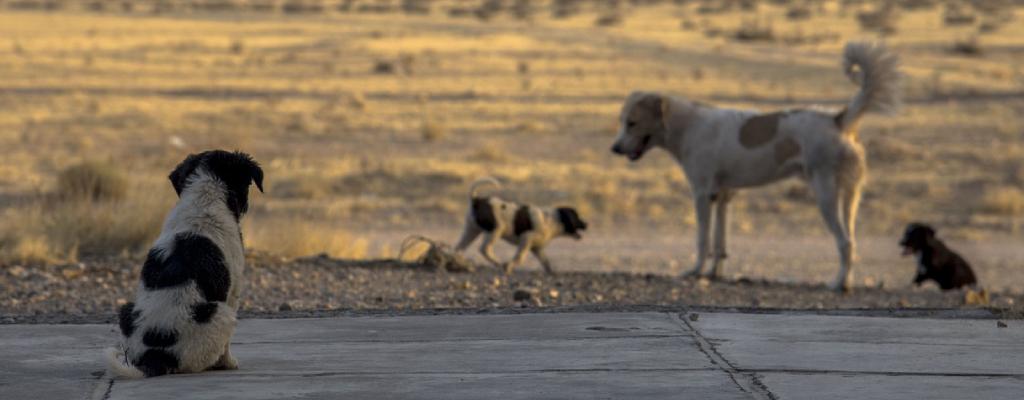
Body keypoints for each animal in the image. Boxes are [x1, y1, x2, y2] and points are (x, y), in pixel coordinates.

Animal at [104, 150, 262, 378]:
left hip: (126, 311)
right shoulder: (233, 291)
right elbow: (226, 348)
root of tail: (156, 357)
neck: (205, 199)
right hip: (221, 314)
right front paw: (229, 363)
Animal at [454, 179, 589, 276]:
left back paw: (459, 261)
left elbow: (545, 261)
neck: (552, 221)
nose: (587, 224)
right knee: (484, 249)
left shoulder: (537, 248)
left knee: (459, 247)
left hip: (471, 230)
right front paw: (508, 267)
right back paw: (498, 263)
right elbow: (520, 257)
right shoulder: (526, 239)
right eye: (577, 217)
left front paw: (551, 272)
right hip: (495, 229)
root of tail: (476, 200)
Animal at [610, 42, 901, 290]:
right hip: (850, 197)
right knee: (852, 241)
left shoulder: (702, 195)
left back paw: (838, 284)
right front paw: (714, 273)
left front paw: (695, 271)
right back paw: (846, 282)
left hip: (825, 195)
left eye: (632, 123)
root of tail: (838, 119)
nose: (615, 148)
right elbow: (720, 242)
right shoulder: (722, 196)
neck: (687, 126)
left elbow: (702, 239)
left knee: (844, 242)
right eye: (623, 121)